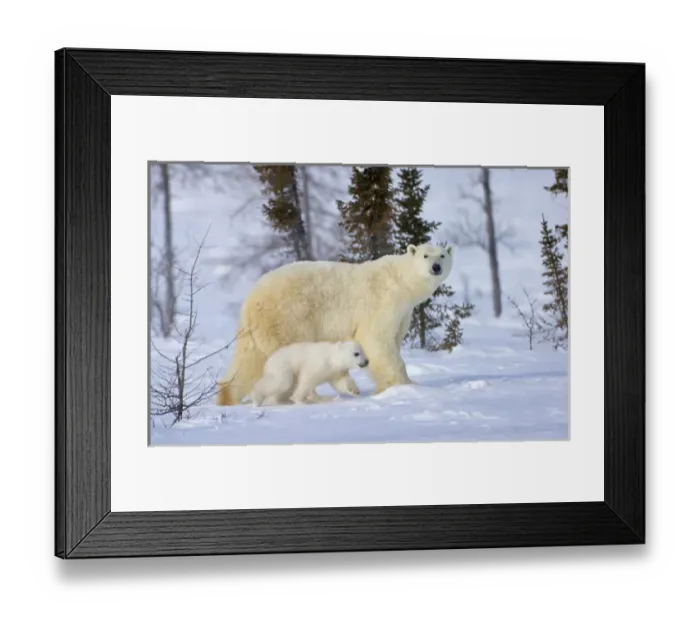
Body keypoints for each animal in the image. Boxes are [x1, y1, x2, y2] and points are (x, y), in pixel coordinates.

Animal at [216, 242, 454, 406]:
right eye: (425, 255)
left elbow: (393, 340)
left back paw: (228, 396)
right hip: (288, 317)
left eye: (442, 254)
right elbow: (377, 340)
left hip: (256, 329)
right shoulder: (382, 303)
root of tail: (250, 300)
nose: (436, 267)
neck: (399, 280)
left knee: (248, 359)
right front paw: (404, 385)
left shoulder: (403, 313)